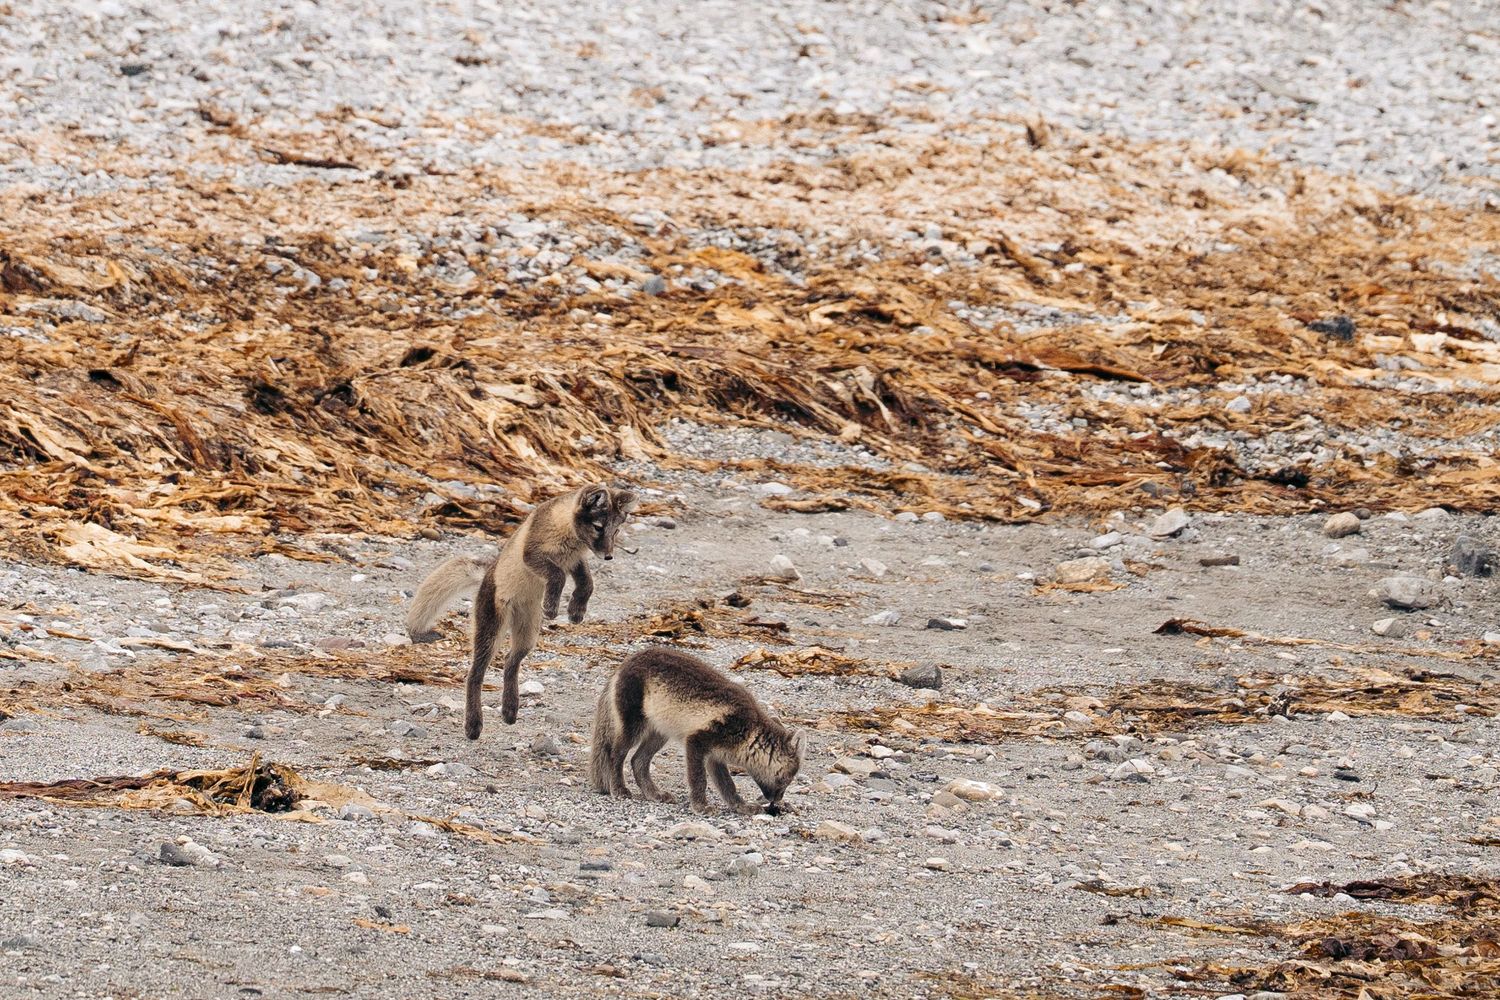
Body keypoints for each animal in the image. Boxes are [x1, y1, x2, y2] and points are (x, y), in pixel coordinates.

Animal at [404, 483, 638, 738]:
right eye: (598, 527)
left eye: (616, 531)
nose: (609, 556)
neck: (567, 533)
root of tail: (487, 574)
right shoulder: (534, 554)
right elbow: (558, 576)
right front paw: (552, 606)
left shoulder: (574, 561)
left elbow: (587, 584)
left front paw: (576, 611)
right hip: (491, 630)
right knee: (475, 674)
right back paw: (474, 724)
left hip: (528, 634)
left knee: (510, 662)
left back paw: (509, 708)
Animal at [588, 646, 804, 816]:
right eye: (788, 778)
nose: (776, 801)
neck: (750, 731)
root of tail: (623, 664)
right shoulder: (696, 742)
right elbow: (699, 779)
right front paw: (701, 806)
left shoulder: (715, 756)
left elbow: (728, 786)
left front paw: (741, 807)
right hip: (633, 727)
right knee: (615, 754)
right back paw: (619, 789)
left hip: (660, 734)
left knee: (637, 761)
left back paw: (654, 794)